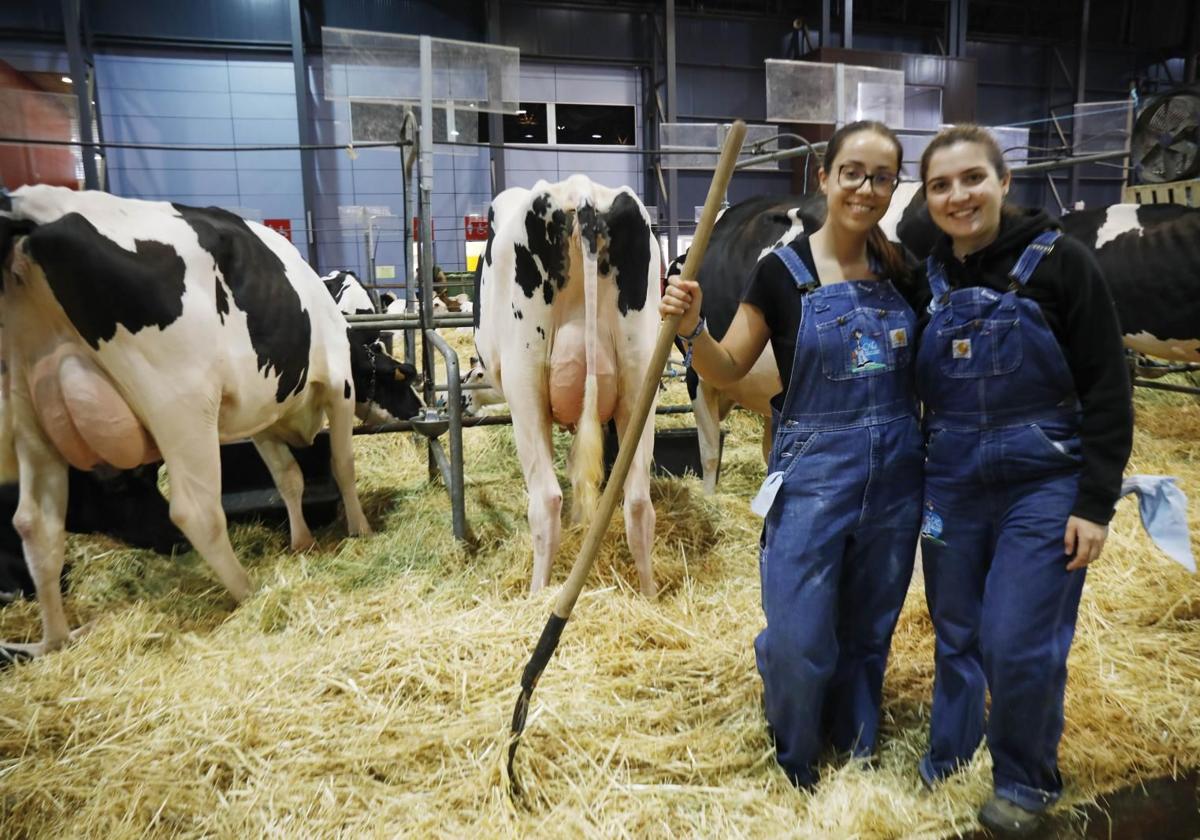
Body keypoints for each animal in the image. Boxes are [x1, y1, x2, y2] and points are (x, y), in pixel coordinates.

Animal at [0, 187, 374, 657]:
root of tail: (30, 209)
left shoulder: (261, 419)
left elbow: (289, 478)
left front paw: (302, 541)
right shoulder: (340, 384)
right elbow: (343, 466)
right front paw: (360, 530)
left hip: (28, 411)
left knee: (35, 524)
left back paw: (56, 641)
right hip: (178, 402)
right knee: (195, 510)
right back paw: (248, 590)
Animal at [475, 175, 662, 597]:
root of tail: (582, 189)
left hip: (524, 380)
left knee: (546, 500)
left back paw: (536, 595)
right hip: (641, 374)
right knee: (637, 501)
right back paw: (648, 595)